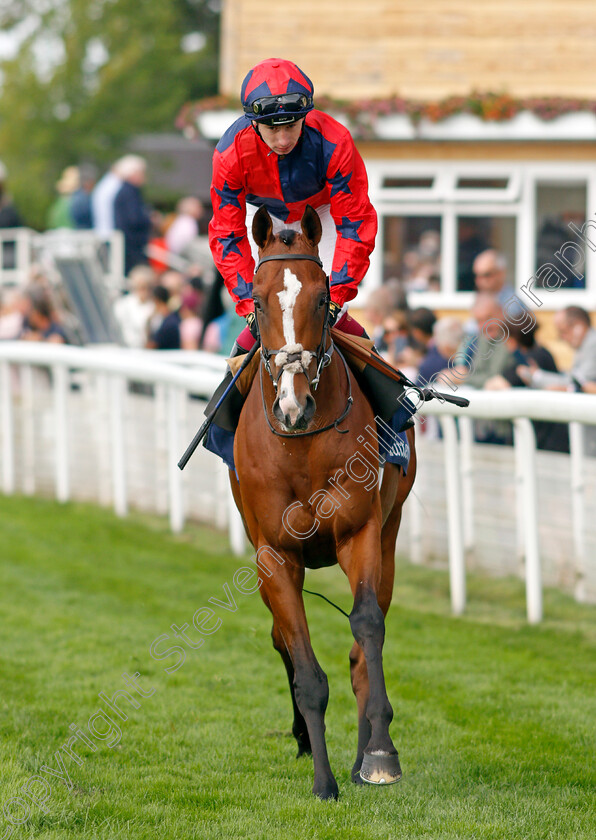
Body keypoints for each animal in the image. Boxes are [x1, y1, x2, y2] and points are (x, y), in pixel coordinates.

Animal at [230, 203, 416, 800]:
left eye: (321, 297)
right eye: (257, 301)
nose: (295, 406)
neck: (301, 444)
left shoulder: (360, 533)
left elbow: (366, 629)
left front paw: (378, 755)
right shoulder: (274, 556)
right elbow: (306, 670)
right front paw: (322, 780)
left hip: (390, 535)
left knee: (362, 642)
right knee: (281, 642)